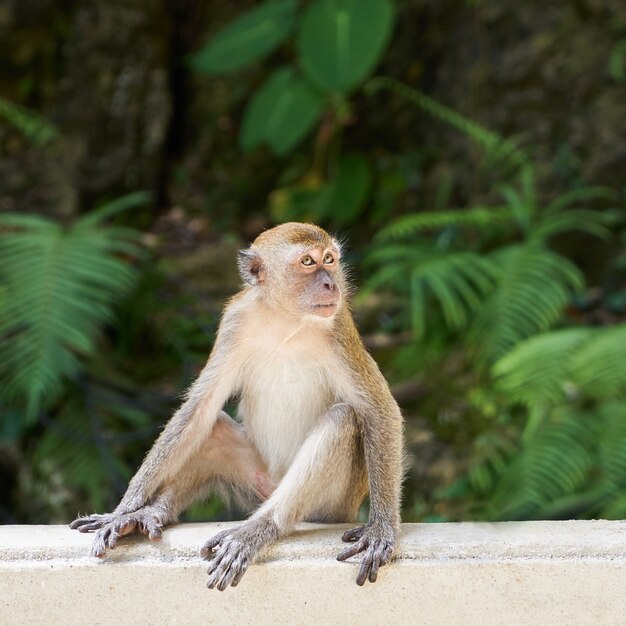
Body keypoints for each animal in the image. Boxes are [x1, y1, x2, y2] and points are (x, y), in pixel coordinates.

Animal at [70, 222, 402, 588]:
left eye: (329, 259)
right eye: (308, 262)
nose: (331, 282)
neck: (286, 320)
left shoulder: (339, 326)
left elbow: (378, 411)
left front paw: (381, 530)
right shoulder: (235, 321)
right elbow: (200, 408)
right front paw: (122, 511)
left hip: (332, 505)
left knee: (343, 419)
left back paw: (258, 529)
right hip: (257, 480)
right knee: (212, 428)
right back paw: (151, 513)